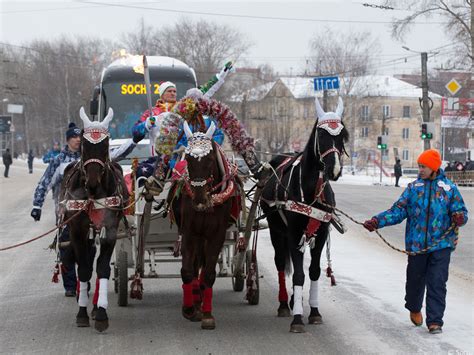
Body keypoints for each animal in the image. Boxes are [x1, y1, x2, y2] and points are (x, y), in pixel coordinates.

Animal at [61, 108, 128, 334]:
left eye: (105, 144)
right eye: (84, 143)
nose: (91, 182)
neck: (92, 195)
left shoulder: (111, 228)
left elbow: (103, 268)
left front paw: (101, 313)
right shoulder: (77, 231)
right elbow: (83, 269)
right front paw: (82, 313)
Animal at [169, 121, 237, 330]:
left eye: (209, 159)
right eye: (189, 159)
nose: (199, 199)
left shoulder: (216, 235)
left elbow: (208, 273)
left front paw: (207, 315)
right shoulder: (189, 232)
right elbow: (187, 270)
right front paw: (189, 309)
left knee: (203, 264)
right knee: (196, 263)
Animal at [260, 96, 348, 334]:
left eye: (343, 136)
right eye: (322, 135)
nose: (334, 170)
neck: (311, 191)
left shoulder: (320, 232)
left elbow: (314, 271)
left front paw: (314, 311)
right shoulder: (293, 233)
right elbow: (298, 274)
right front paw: (298, 318)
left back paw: (293, 300)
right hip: (276, 230)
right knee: (280, 263)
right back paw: (284, 303)